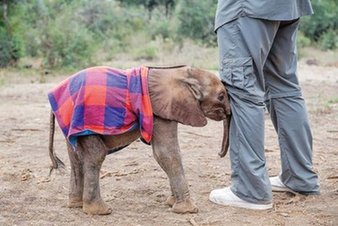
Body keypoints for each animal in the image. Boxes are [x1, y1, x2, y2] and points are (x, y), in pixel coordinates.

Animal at [48, 64, 230, 215]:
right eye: (221, 96)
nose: (219, 153)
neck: (183, 74)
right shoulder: (161, 110)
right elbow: (167, 153)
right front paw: (188, 210)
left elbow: (163, 153)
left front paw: (171, 203)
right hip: (88, 120)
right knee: (96, 155)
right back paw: (100, 211)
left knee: (76, 158)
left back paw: (76, 205)